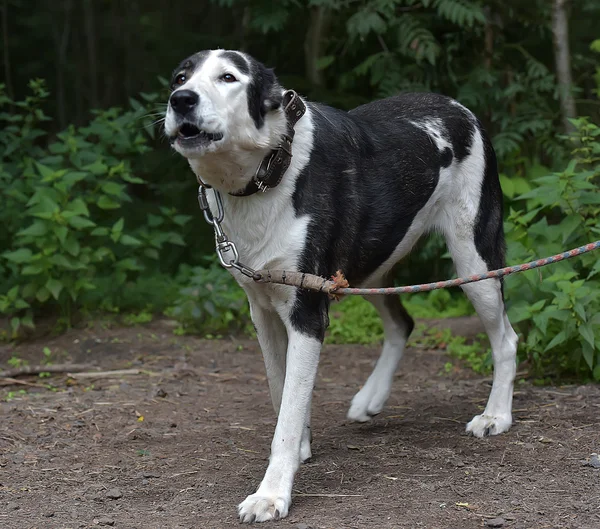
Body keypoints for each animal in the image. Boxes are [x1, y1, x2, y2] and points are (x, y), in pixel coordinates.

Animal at [164, 50, 520, 524]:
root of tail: (458, 107)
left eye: (228, 77)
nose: (181, 100)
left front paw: (271, 494)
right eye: (179, 77)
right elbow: (281, 394)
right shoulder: (263, 311)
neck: (270, 169)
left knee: (506, 338)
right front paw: (299, 447)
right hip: (371, 268)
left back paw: (495, 415)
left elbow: (288, 411)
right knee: (402, 323)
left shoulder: (307, 312)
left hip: (473, 261)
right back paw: (372, 397)